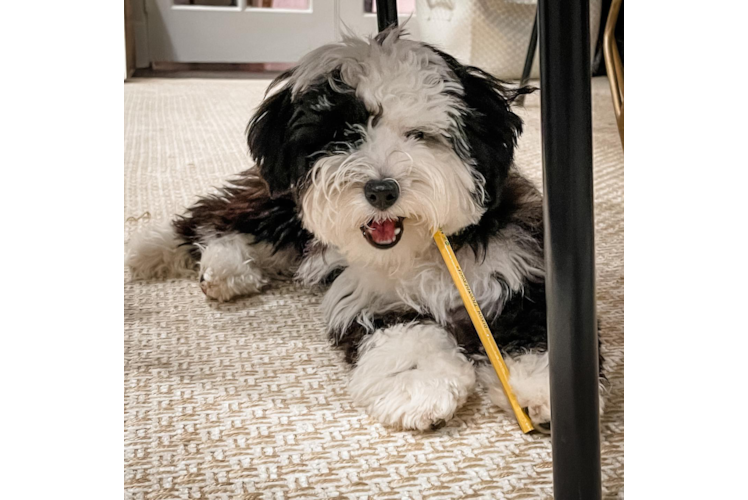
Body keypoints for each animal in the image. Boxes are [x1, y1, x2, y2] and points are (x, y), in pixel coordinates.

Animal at [129, 27, 604, 432]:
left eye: (419, 134)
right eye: (343, 135)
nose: (381, 190)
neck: (419, 252)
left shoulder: (520, 270)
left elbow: (538, 331)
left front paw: (543, 388)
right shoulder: (368, 296)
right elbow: (407, 338)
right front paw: (420, 389)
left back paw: (228, 272)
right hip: (280, 202)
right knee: (213, 217)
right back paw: (158, 252)